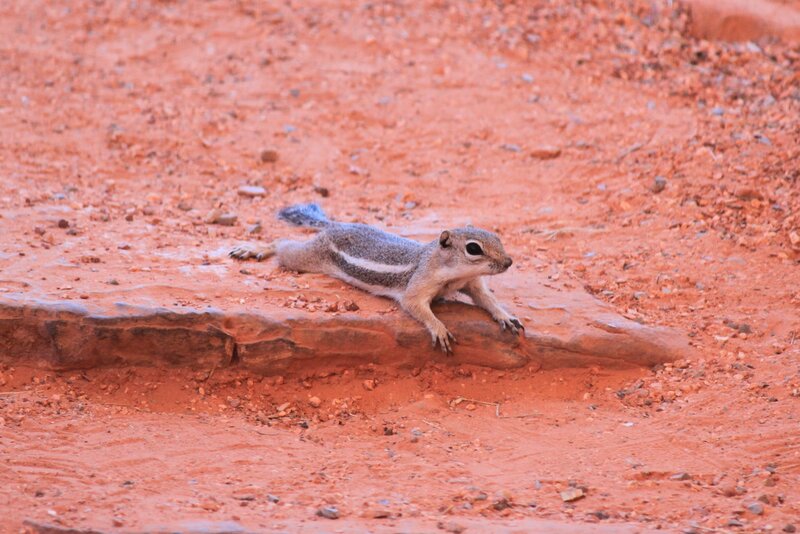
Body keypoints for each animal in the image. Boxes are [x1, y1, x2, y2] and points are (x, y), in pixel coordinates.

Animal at [230, 203, 524, 353]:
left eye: (497, 238)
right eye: (473, 248)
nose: (508, 262)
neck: (454, 272)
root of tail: (337, 224)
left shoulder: (473, 284)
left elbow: (487, 299)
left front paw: (506, 316)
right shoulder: (420, 283)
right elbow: (414, 304)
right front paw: (438, 328)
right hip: (306, 258)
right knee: (282, 245)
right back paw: (253, 249)